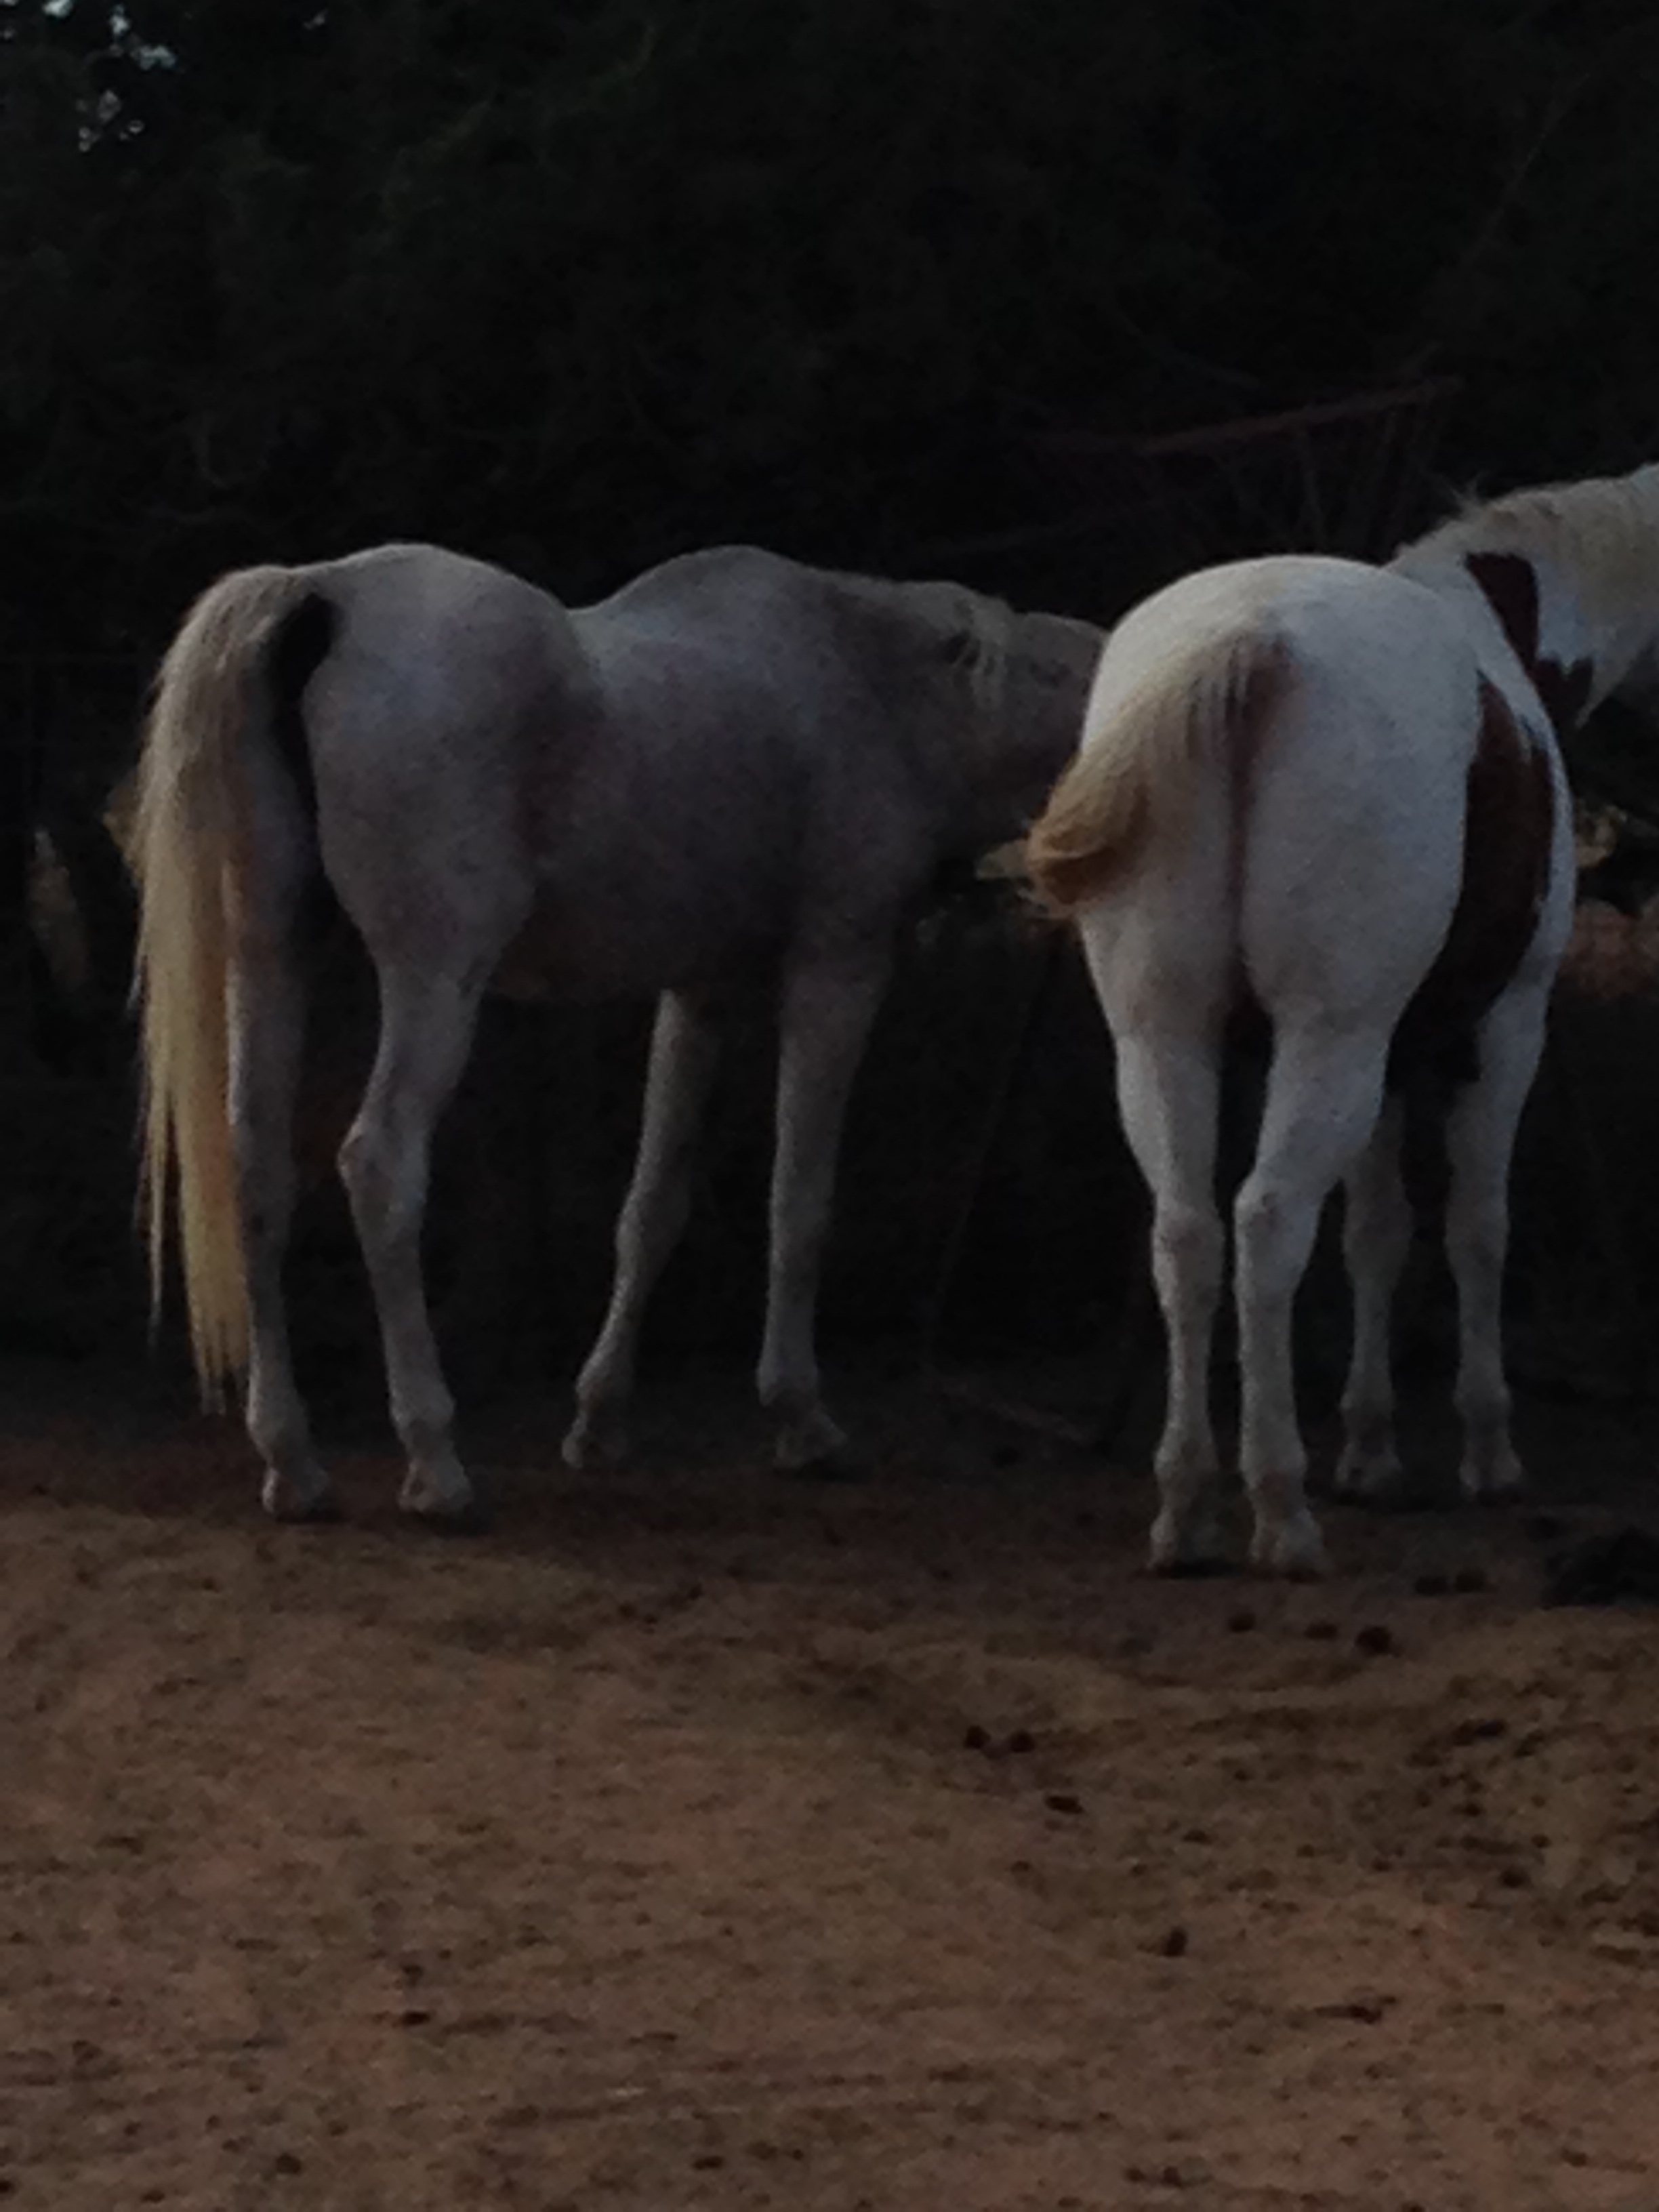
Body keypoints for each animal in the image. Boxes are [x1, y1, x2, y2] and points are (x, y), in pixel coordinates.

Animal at [136, 544, 1106, 1530]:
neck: (876, 682)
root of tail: (322, 595)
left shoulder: (699, 994)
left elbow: (652, 1208)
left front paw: (598, 1421)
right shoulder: (838, 971)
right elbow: (800, 1203)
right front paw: (802, 1419)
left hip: (271, 958)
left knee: (255, 1172)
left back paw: (292, 1463)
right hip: (433, 980)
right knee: (380, 1166)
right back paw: (436, 1462)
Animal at [1026, 462, 1659, 1574]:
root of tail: (1252, 645)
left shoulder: (1390, 1060)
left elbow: (1376, 1233)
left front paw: (1371, 1452)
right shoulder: (1502, 1032)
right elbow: (1475, 1229)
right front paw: (1486, 1454)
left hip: (1169, 1041)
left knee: (1187, 1235)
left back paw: (1186, 1509)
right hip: (1331, 1045)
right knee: (1269, 1222)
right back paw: (1280, 1510)